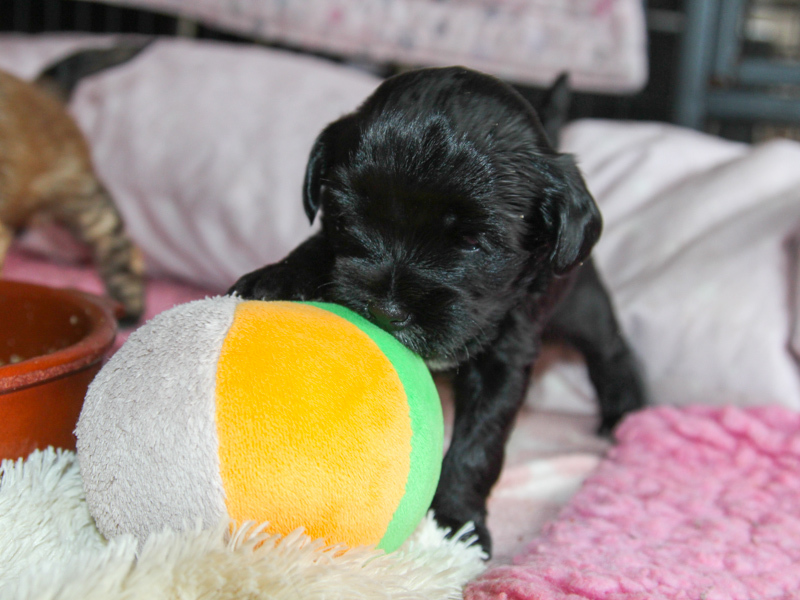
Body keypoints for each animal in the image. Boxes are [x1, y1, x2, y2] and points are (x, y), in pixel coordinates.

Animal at [229, 66, 646, 556]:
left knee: (610, 347)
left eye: (472, 242)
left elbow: (479, 442)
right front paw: (278, 276)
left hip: (582, 303)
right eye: (345, 220)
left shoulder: (506, 359)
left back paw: (624, 409)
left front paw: (460, 520)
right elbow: (316, 249)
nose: (387, 309)